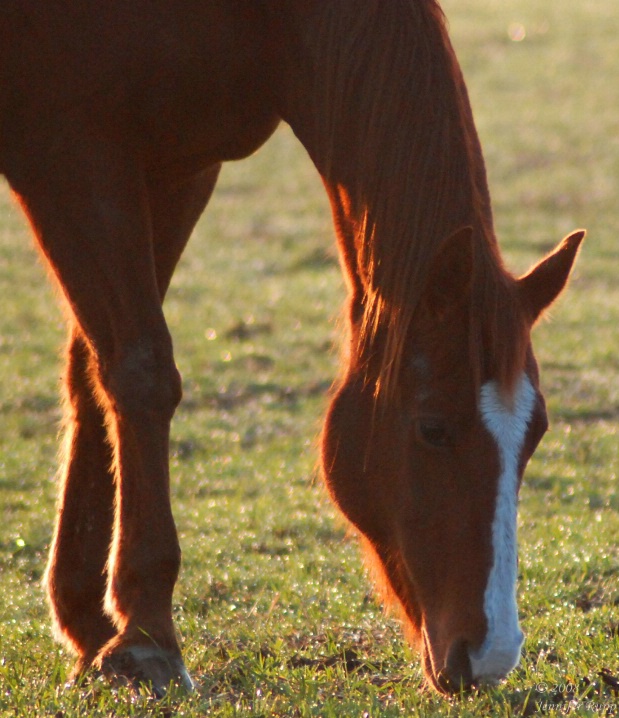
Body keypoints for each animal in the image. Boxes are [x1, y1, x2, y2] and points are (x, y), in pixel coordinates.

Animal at [0, 0, 580, 696]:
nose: (491, 655)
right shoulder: (72, 158)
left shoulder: (178, 169)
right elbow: (141, 371)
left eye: (536, 432)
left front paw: (88, 623)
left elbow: (94, 371)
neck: (266, 21)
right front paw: (147, 638)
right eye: (432, 427)